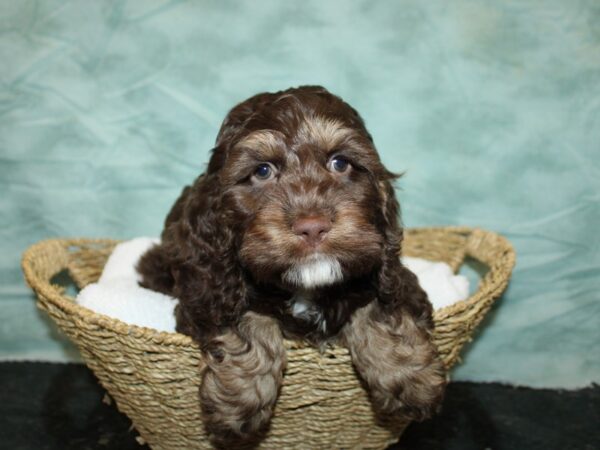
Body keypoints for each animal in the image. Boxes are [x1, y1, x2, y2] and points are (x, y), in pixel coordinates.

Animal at [137, 86, 446, 444]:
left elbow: (379, 308)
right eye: (262, 171)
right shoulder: (208, 289)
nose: (312, 226)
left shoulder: (392, 275)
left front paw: (411, 380)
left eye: (340, 163)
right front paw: (239, 401)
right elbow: (246, 319)